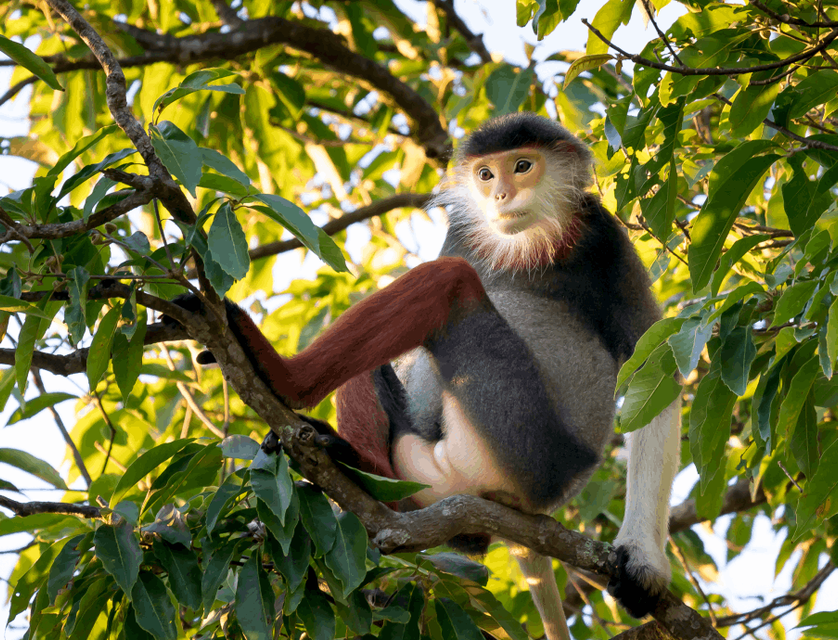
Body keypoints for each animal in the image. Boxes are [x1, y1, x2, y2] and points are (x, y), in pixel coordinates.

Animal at [168, 113, 681, 640]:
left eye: (523, 166)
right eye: (485, 175)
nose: (501, 195)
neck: (526, 243)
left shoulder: (606, 239)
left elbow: (655, 367)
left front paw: (644, 564)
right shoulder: (465, 234)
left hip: (516, 437)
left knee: (448, 283)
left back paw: (283, 378)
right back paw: (358, 468)